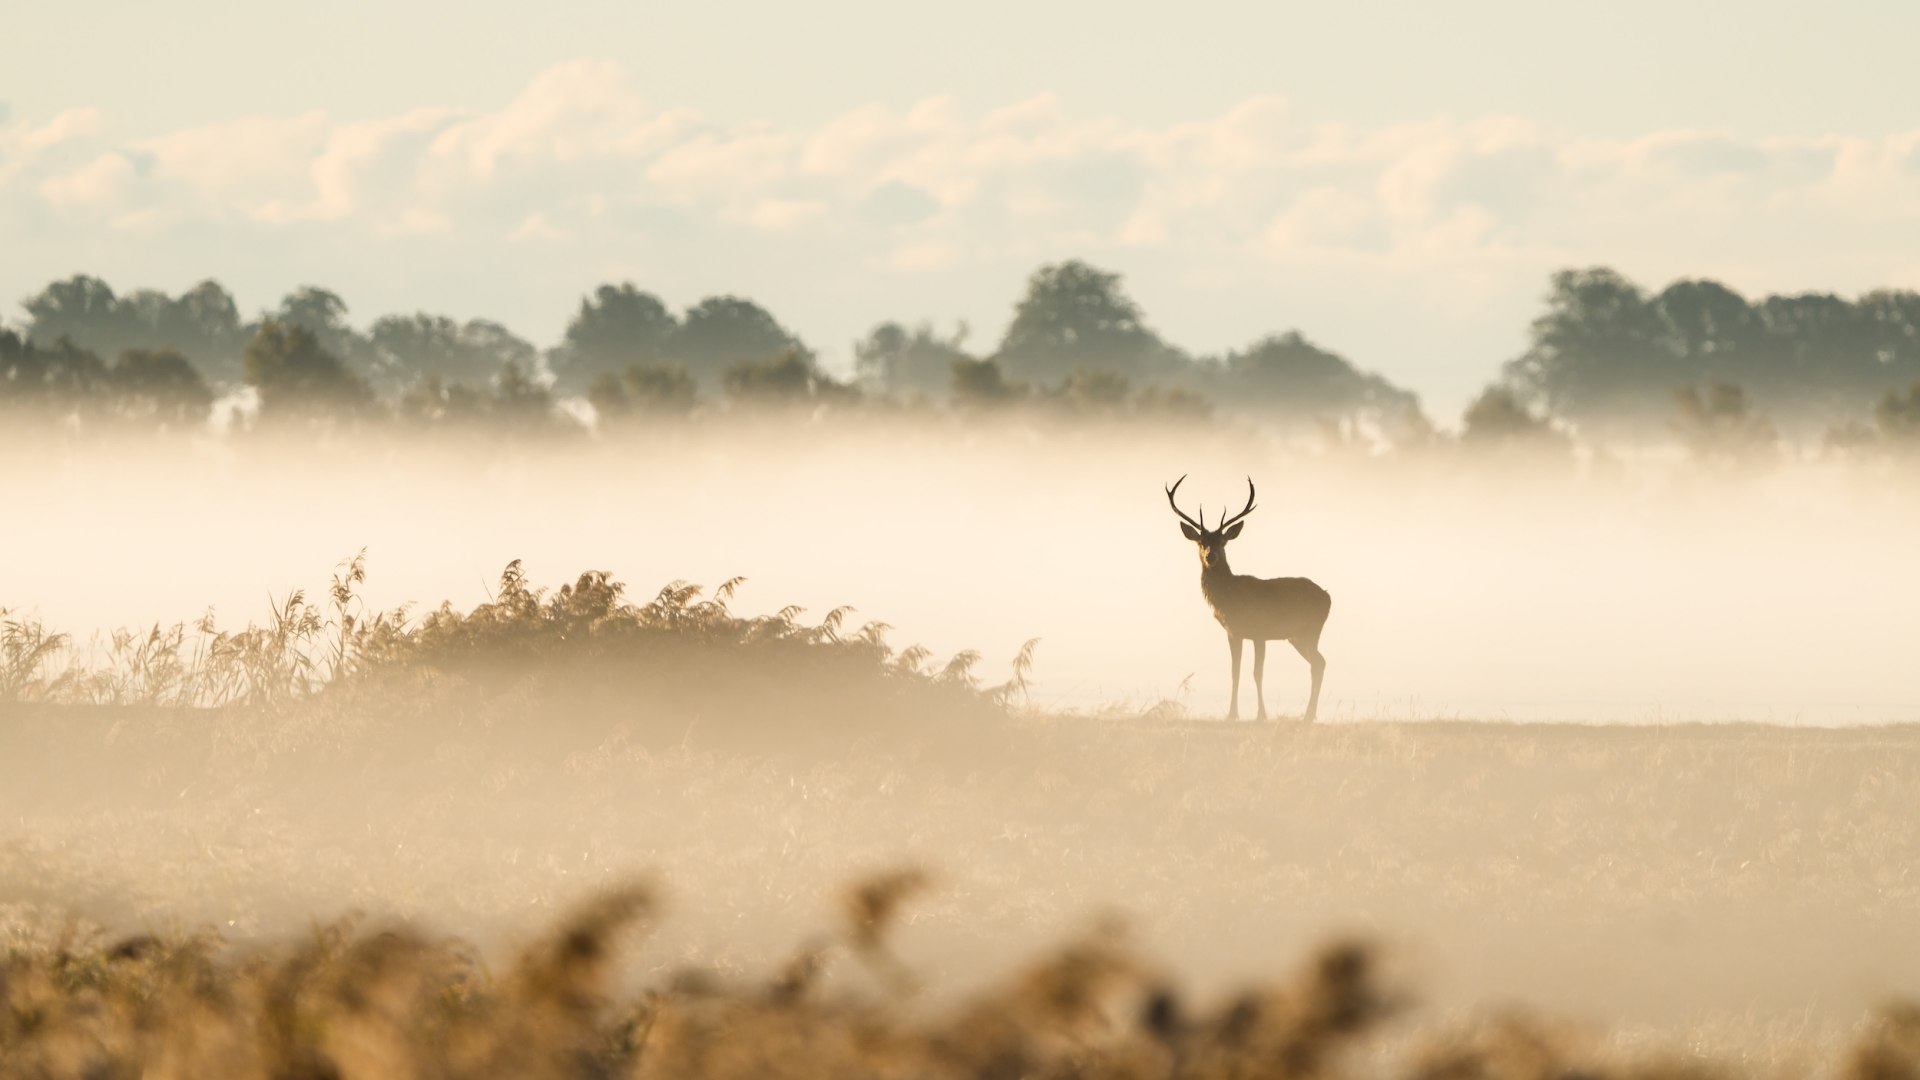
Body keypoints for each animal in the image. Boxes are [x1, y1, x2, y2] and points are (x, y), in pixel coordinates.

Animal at [1159, 472, 1328, 718]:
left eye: (1222, 541)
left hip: (1311, 629)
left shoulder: (1260, 631)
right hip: (1296, 636)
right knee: (1319, 662)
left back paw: (1308, 716)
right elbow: (1235, 672)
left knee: (1318, 663)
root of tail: (1328, 597)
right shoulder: (1233, 633)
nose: (1211, 556)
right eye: (1201, 541)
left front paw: (1261, 716)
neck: (1230, 599)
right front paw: (1232, 714)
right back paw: (1310, 715)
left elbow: (1257, 673)